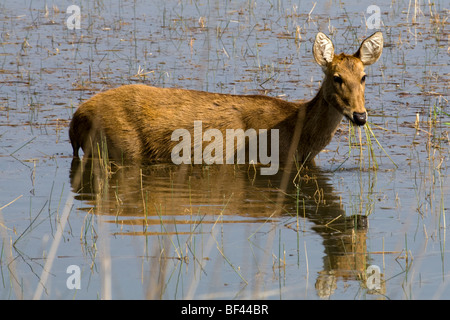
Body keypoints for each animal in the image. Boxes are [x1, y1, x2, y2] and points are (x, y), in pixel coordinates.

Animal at [69, 31, 384, 172]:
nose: (360, 116)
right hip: (118, 147)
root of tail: (76, 119)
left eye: (364, 76)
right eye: (336, 77)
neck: (299, 132)